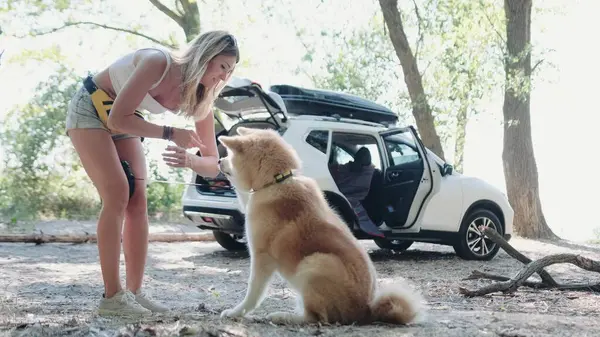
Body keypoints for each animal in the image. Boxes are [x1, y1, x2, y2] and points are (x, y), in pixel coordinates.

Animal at [218, 125, 424, 322]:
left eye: (229, 155)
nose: (219, 161)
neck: (277, 181)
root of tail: (366, 311)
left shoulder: (261, 257)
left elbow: (253, 293)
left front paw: (236, 312)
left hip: (315, 263)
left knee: (315, 318)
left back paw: (283, 317)